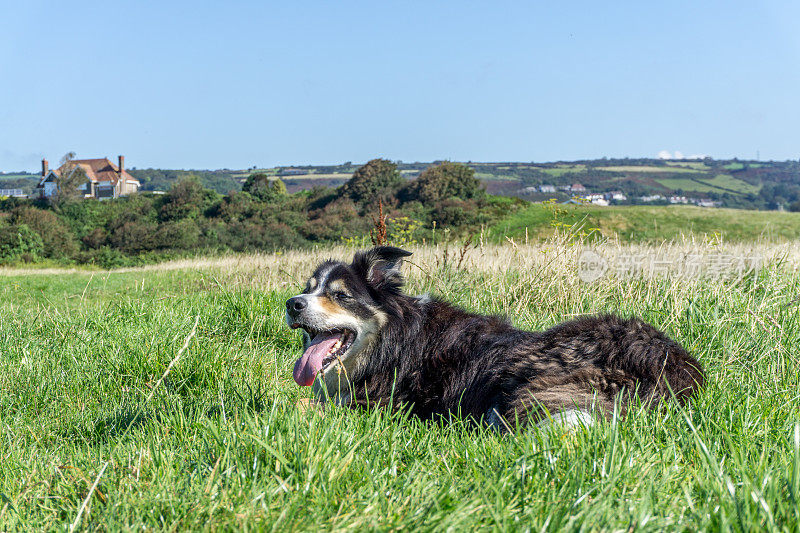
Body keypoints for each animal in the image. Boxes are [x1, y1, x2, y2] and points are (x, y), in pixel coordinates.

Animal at [288, 247, 708, 430]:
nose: (292, 304)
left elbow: (303, 403)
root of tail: (669, 364)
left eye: (341, 295)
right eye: (308, 289)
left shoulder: (385, 403)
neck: (393, 340)